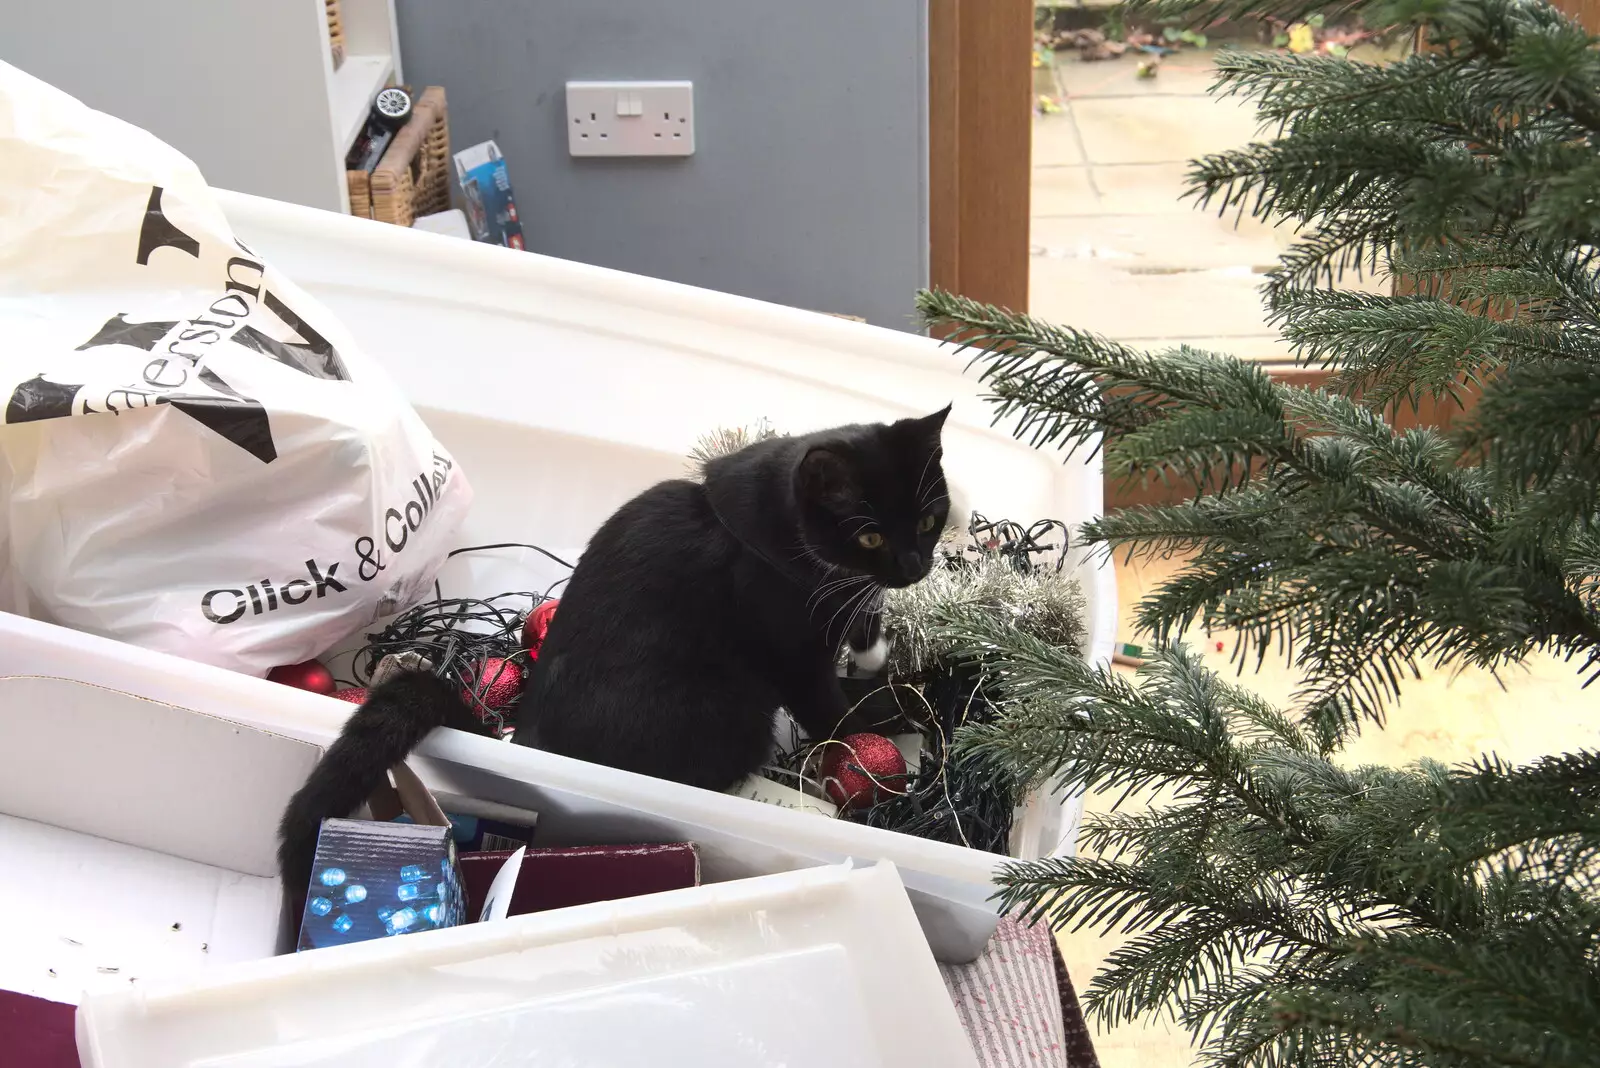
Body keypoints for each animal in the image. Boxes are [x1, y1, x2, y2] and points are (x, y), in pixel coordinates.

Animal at [276, 409, 947, 895]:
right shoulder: (793, 655)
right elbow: (834, 711)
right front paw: (891, 714)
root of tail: (529, 743)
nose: (915, 566)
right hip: (726, 706)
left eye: (928, 518)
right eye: (870, 535)